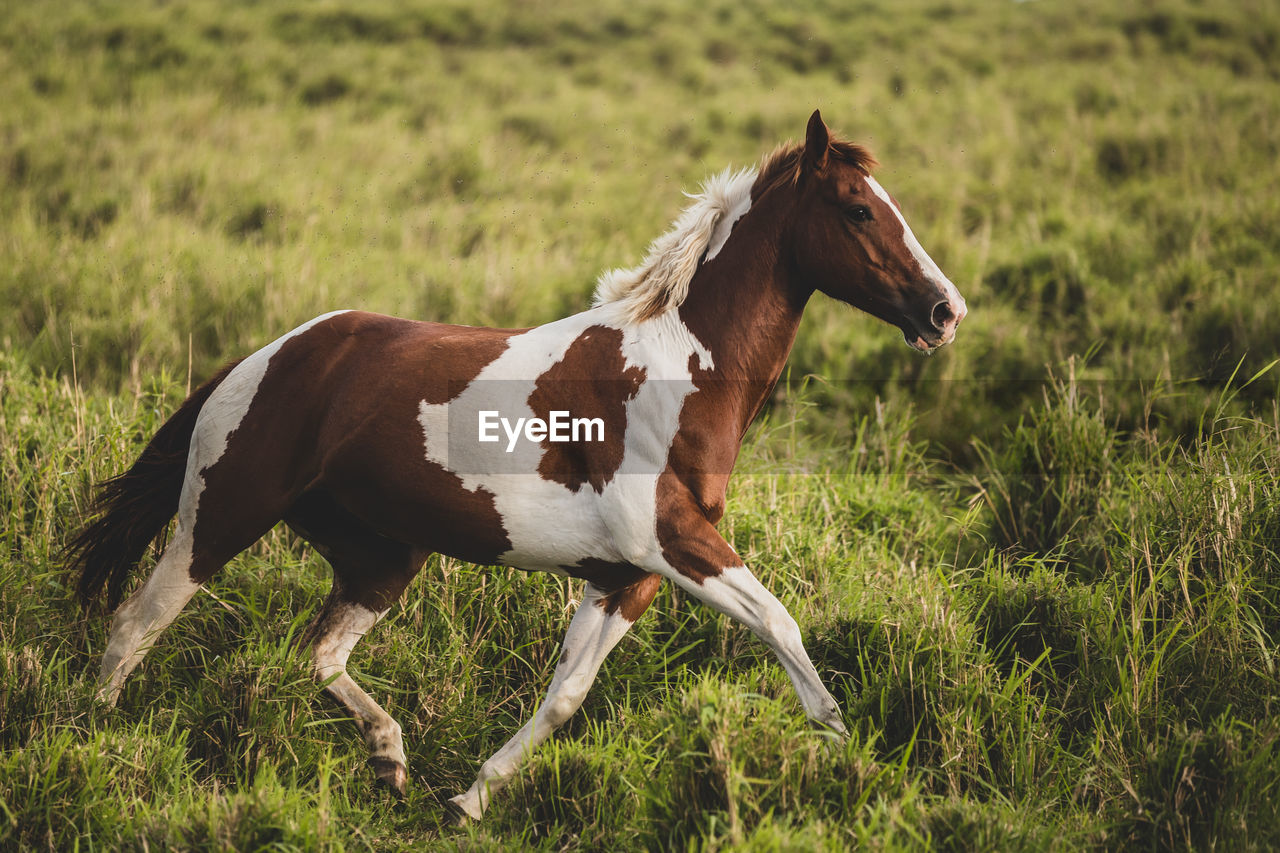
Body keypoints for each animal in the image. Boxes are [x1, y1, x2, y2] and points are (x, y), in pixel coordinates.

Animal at [67, 112, 962, 819]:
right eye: (858, 209)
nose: (944, 310)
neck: (678, 371)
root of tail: (264, 357)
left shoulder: (625, 574)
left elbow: (565, 695)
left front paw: (470, 798)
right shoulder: (671, 541)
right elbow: (780, 622)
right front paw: (850, 757)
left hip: (383, 556)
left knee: (320, 653)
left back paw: (391, 759)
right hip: (220, 516)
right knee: (135, 625)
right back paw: (96, 743)